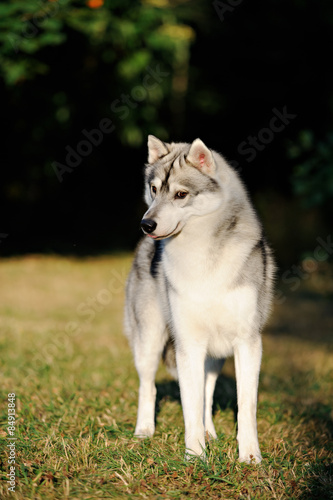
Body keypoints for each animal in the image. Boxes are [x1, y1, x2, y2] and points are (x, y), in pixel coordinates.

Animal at [123, 135, 274, 462]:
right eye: (154, 189)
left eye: (181, 194)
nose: (146, 224)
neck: (201, 255)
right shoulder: (188, 344)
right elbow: (189, 406)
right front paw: (194, 456)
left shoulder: (247, 343)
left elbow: (245, 406)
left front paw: (250, 456)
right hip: (149, 342)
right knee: (148, 387)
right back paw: (144, 430)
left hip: (214, 357)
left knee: (206, 393)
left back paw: (209, 433)